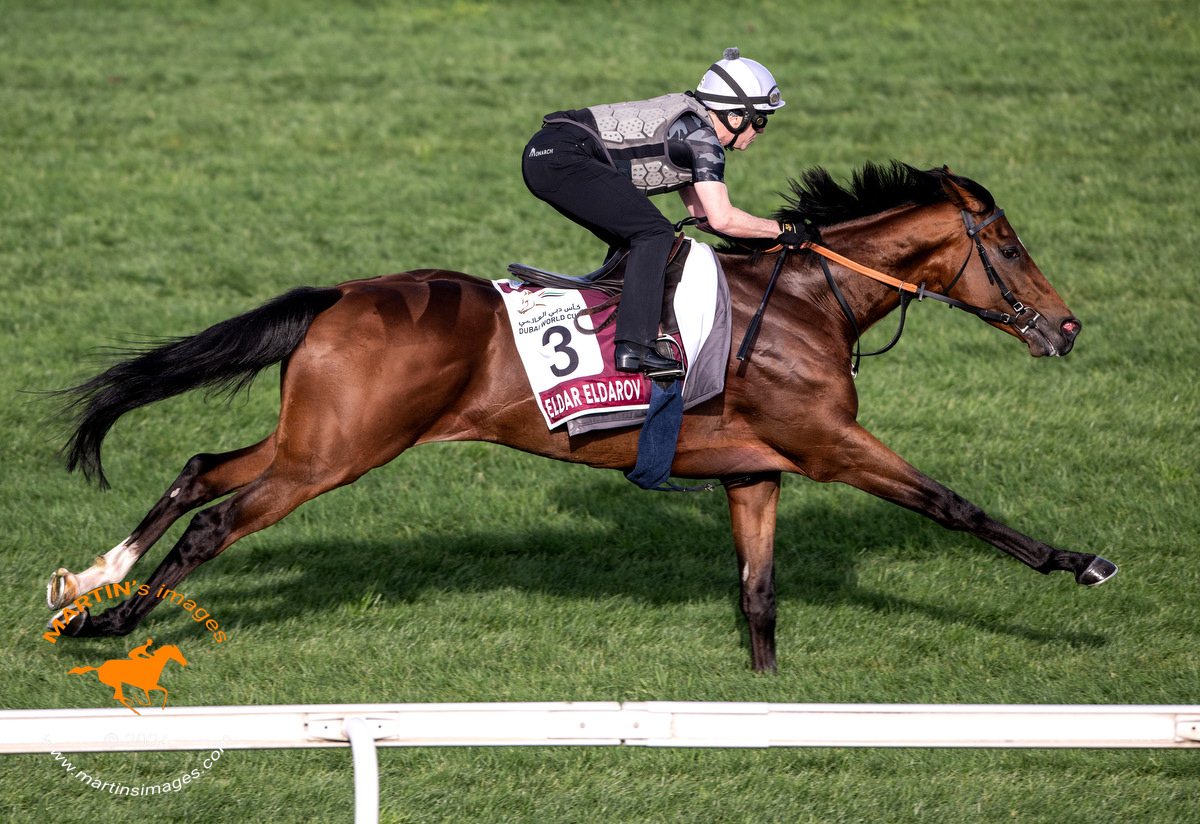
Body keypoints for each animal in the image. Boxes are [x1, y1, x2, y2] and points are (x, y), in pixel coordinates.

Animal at [44, 163, 1113, 676]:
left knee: (199, 467)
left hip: (315, 437)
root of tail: (342, 294)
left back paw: (92, 591)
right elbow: (953, 504)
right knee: (218, 520)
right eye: (1009, 246)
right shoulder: (830, 445)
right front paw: (1078, 563)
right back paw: (123, 621)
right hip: (336, 454)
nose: (1066, 327)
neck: (811, 303)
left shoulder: (755, 468)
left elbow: (760, 593)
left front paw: (769, 695)